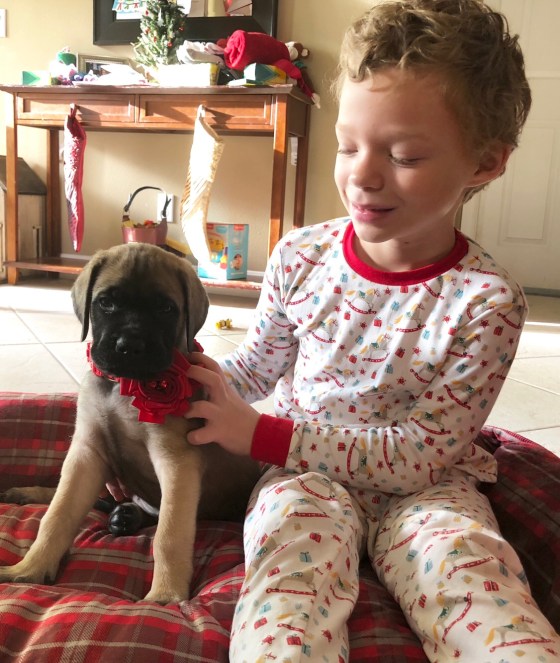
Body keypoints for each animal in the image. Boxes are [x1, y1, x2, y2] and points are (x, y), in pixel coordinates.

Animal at [0, 243, 261, 604]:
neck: (124, 387)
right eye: (106, 303)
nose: (129, 346)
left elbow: (169, 534)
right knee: (76, 497)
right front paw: (30, 567)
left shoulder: (176, 462)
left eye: (166, 308)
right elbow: (57, 513)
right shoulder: (87, 455)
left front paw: (166, 594)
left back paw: (124, 516)